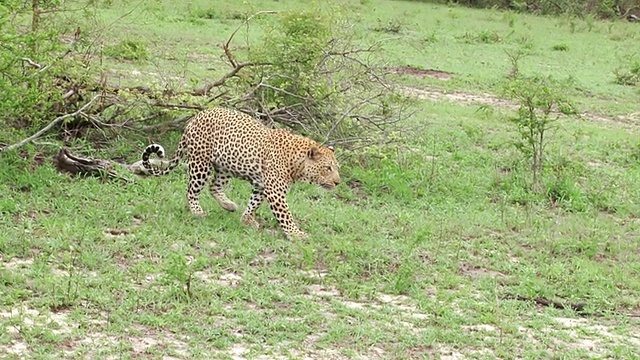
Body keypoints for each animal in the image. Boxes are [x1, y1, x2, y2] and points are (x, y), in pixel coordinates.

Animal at [140, 106, 340, 239]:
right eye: (328, 168)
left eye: (337, 168)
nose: (338, 182)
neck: (296, 163)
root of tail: (196, 117)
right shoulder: (275, 191)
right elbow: (286, 215)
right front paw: (296, 234)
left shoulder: (261, 185)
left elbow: (254, 203)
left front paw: (247, 219)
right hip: (200, 163)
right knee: (192, 190)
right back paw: (197, 211)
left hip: (225, 166)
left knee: (214, 186)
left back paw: (229, 205)